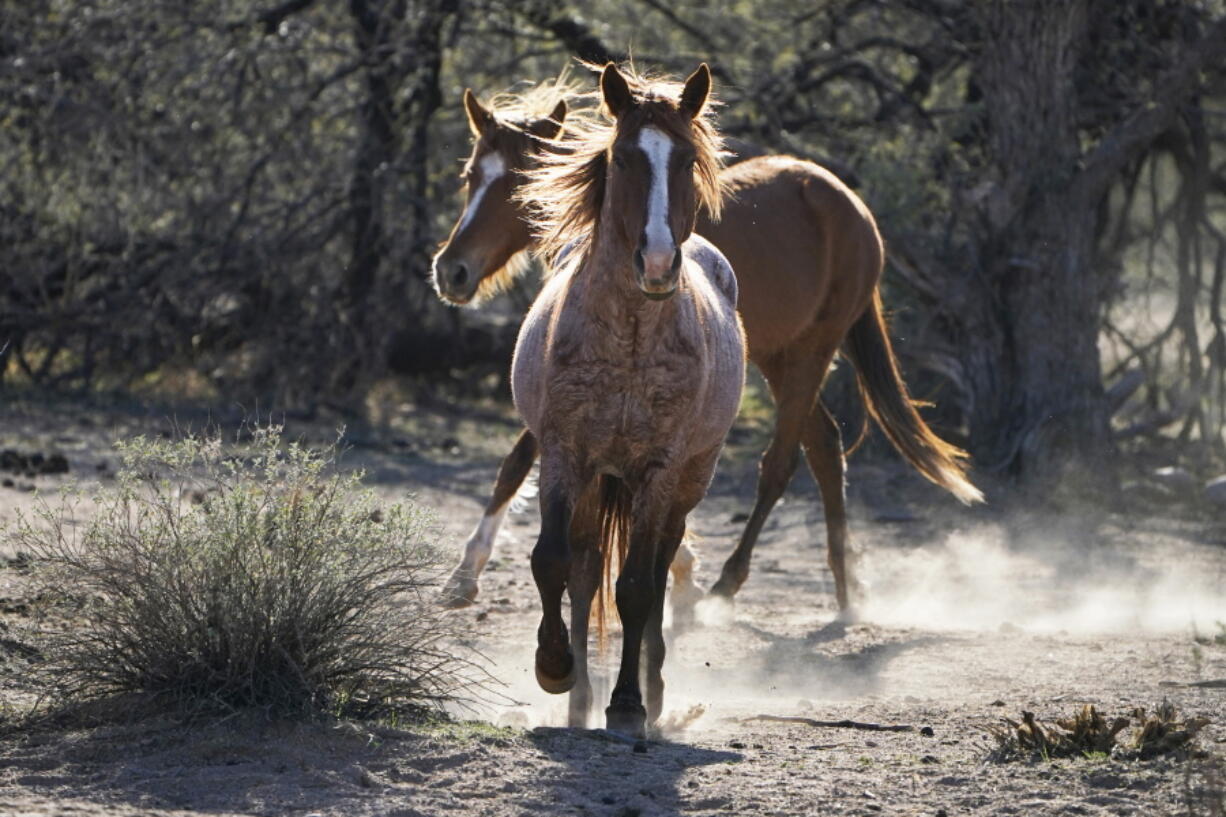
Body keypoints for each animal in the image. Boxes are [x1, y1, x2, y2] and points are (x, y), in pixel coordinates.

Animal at [436, 66, 980, 613]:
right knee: (825, 447)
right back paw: (846, 586)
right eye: (472, 176)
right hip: (781, 357)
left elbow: (521, 459)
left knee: (781, 462)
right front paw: (464, 573)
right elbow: (518, 463)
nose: (452, 271)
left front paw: (467, 570)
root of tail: (855, 209)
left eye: (520, 180)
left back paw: (729, 583)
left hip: (811, 352)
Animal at [505, 65, 735, 736]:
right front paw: (554, 668)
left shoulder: (658, 470)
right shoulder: (563, 454)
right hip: (595, 481)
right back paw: (580, 698)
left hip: (684, 484)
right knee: (584, 572)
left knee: (656, 572)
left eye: (686, 160)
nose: (657, 262)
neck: (630, 337)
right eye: (624, 158)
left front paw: (629, 704)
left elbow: (636, 588)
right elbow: (552, 562)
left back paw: (650, 696)